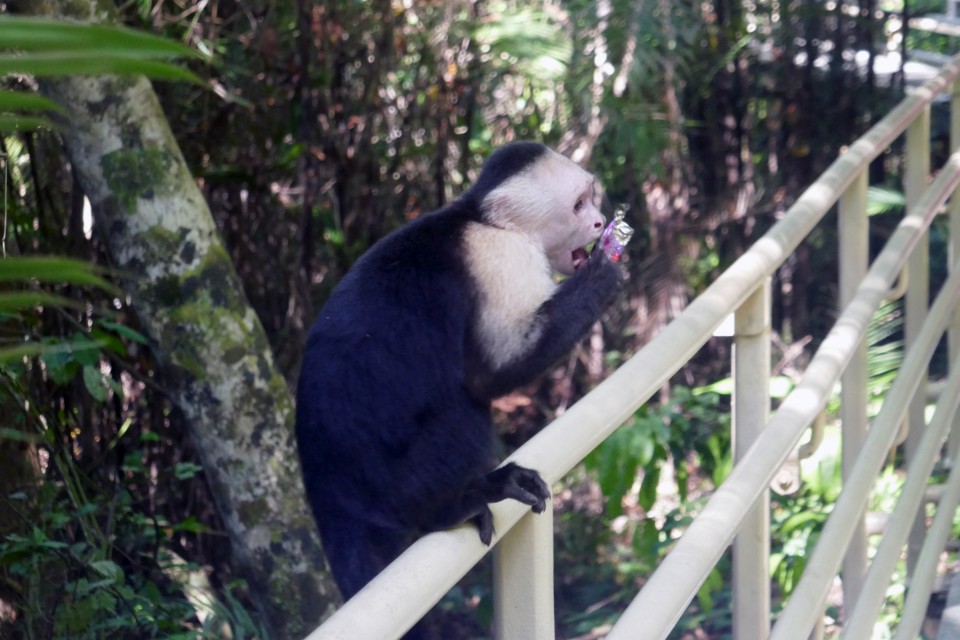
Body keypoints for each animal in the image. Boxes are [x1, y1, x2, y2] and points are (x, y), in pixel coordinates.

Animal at [296, 141, 623, 607]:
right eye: (579, 205)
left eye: (590, 200)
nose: (599, 221)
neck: (481, 218)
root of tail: (328, 494)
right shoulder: (499, 256)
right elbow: (492, 373)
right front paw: (603, 273)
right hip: (397, 485)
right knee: (465, 411)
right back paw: (454, 506)